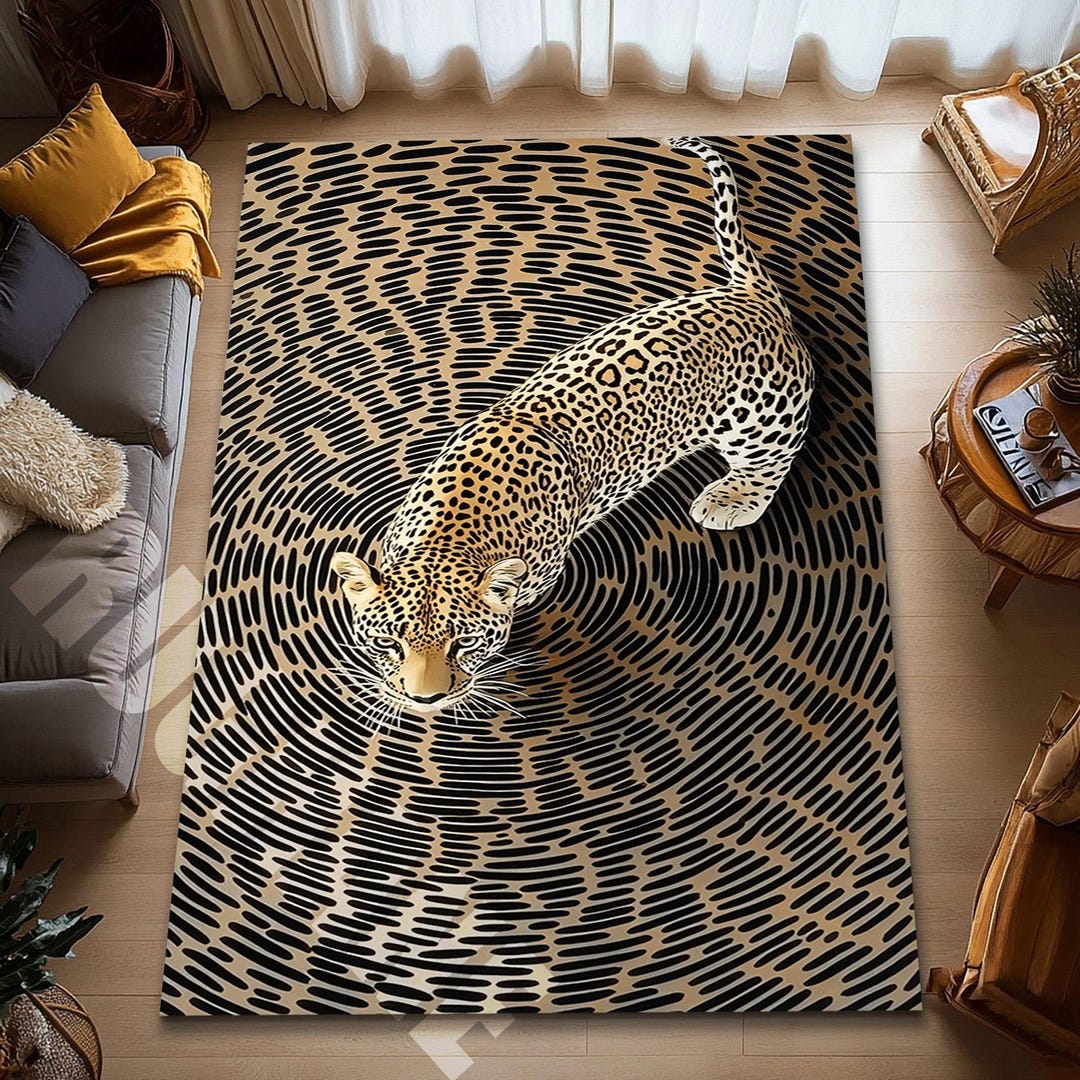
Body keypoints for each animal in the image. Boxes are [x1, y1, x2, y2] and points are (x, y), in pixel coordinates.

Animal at [332, 136, 814, 716]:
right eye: (388, 642)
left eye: (464, 643)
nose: (427, 700)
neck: (454, 531)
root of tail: (748, 295)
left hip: (762, 418)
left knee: (772, 459)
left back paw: (731, 499)